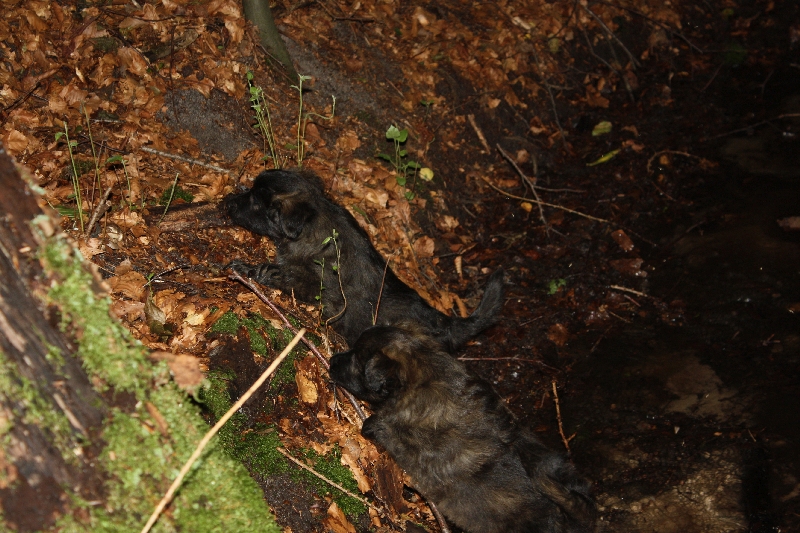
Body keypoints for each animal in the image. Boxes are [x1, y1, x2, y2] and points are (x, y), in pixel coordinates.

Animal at [224, 169, 504, 351]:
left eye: (255, 200)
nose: (226, 201)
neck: (314, 228)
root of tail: (448, 325)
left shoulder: (316, 285)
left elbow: (274, 271)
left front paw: (245, 268)